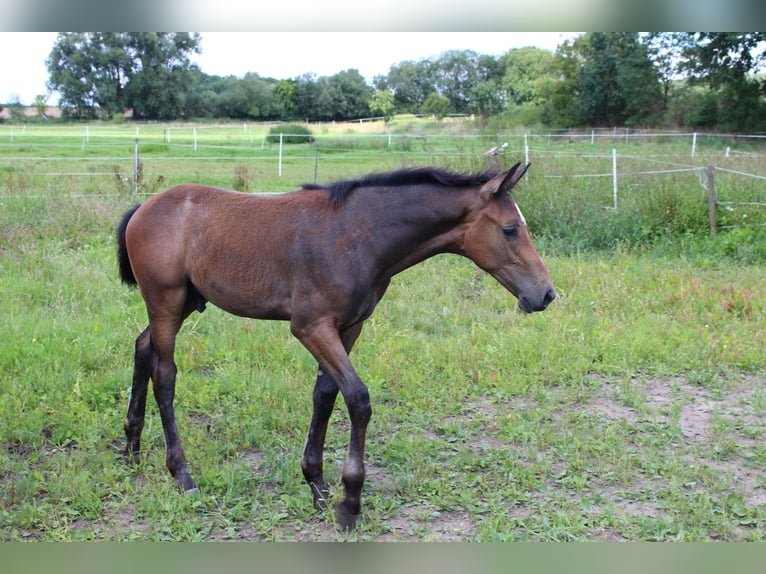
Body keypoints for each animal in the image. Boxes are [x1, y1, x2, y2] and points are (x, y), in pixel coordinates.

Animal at [116, 162, 555, 529]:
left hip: (184, 302)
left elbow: (325, 394)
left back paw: (132, 446)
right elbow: (357, 398)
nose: (546, 294)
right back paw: (181, 472)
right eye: (510, 229)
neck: (358, 234)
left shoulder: (349, 327)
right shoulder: (311, 327)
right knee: (165, 375)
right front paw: (350, 501)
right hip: (166, 300)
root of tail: (142, 208)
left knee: (142, 347)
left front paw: (317, 484)